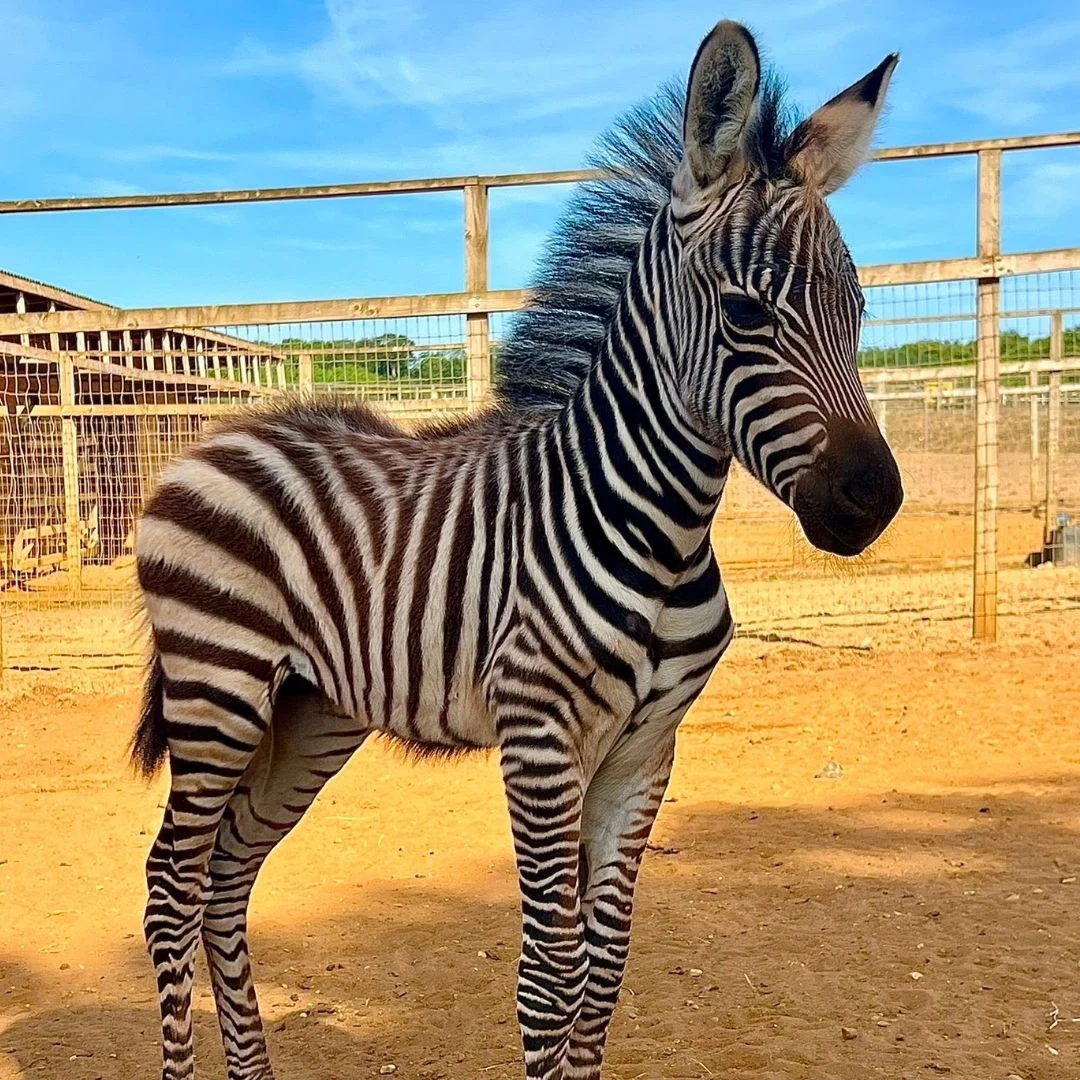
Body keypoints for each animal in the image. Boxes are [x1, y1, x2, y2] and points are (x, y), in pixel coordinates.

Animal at [131, 20, 902, 1080]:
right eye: (747, 313)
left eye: (857, 311)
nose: (878, 501)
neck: (657, 535)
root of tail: (215, 440)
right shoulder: (541, 741)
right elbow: (550, 977)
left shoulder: (645, 753)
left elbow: (605, 970)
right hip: (219, 690)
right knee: (171, 886)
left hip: (310, 711)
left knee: (224, 879)